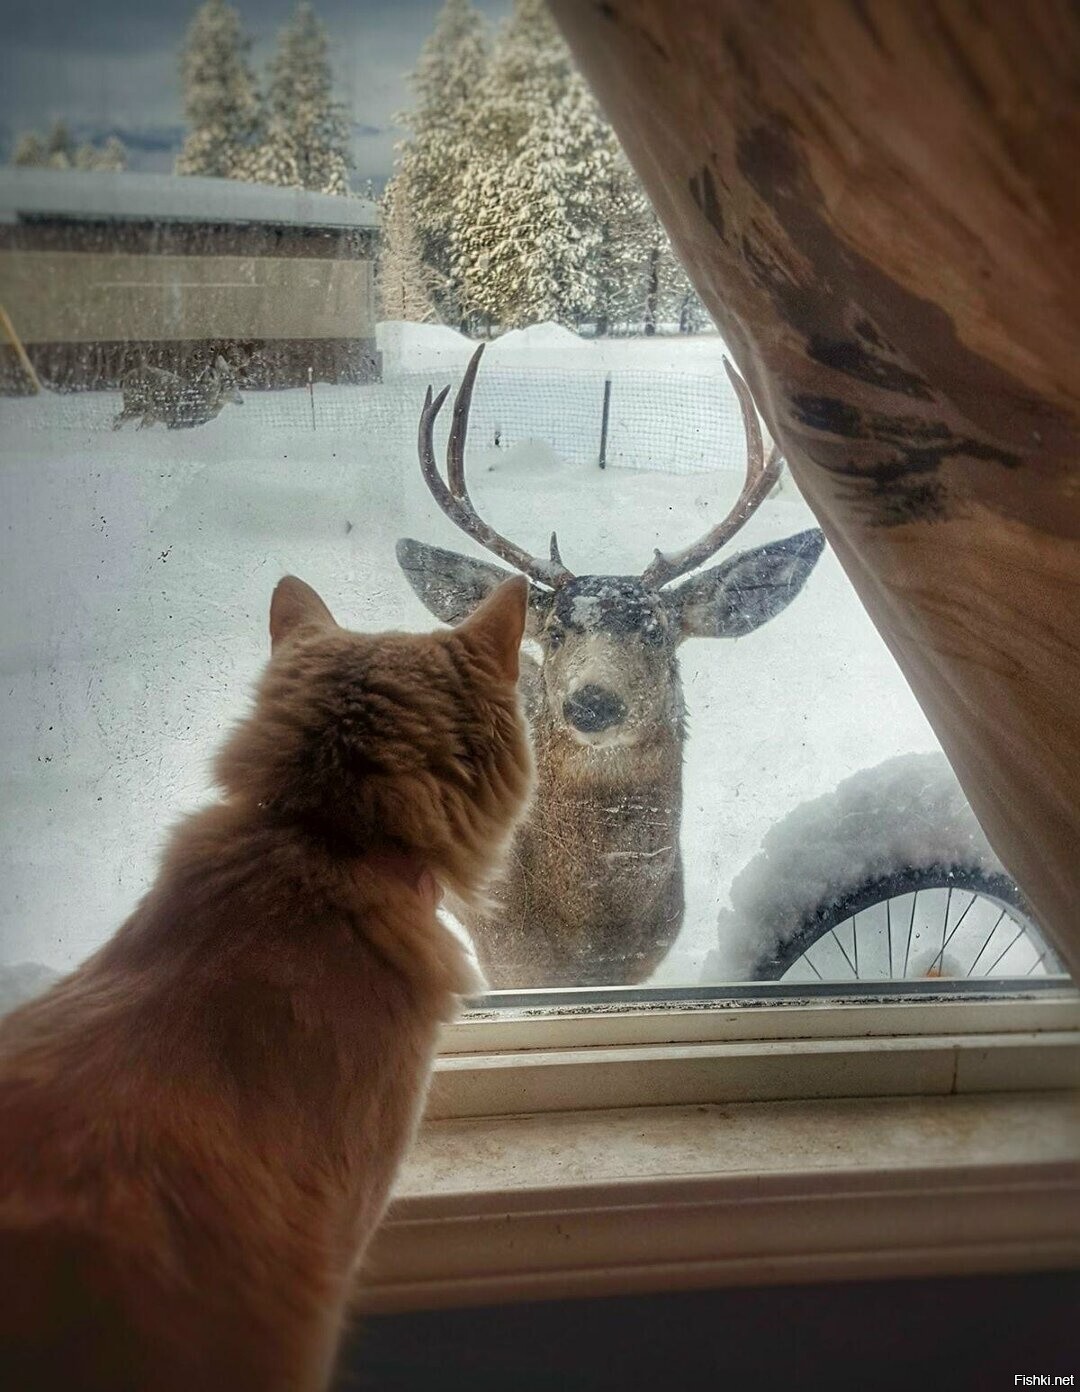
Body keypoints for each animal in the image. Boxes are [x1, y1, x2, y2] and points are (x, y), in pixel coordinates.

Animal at [113, 355, 243, 431]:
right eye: (228, 386)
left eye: (236, 383)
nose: (241, 401)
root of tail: (127, 375)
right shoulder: (177, 421)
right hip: (136, 404)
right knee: (118, 417)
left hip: (149, 413)